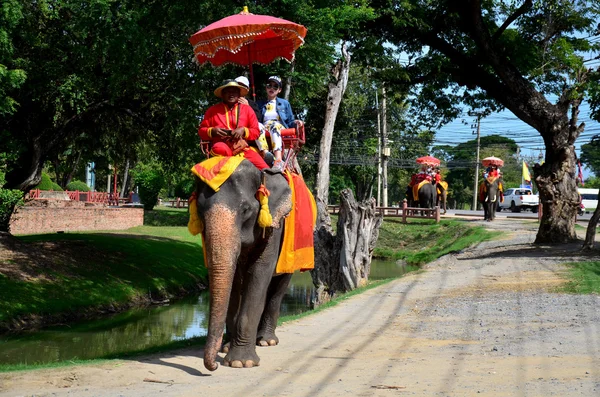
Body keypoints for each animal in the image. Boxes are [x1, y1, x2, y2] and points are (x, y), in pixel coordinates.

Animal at [193, 159, 292, 370]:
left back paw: (266, 341)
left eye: (246, 210)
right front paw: (226, 349)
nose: (213, 366)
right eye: (200, 212)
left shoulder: (275, 224)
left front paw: (240, 362)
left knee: (279, 288)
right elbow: (235, 278)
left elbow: (260, 270)